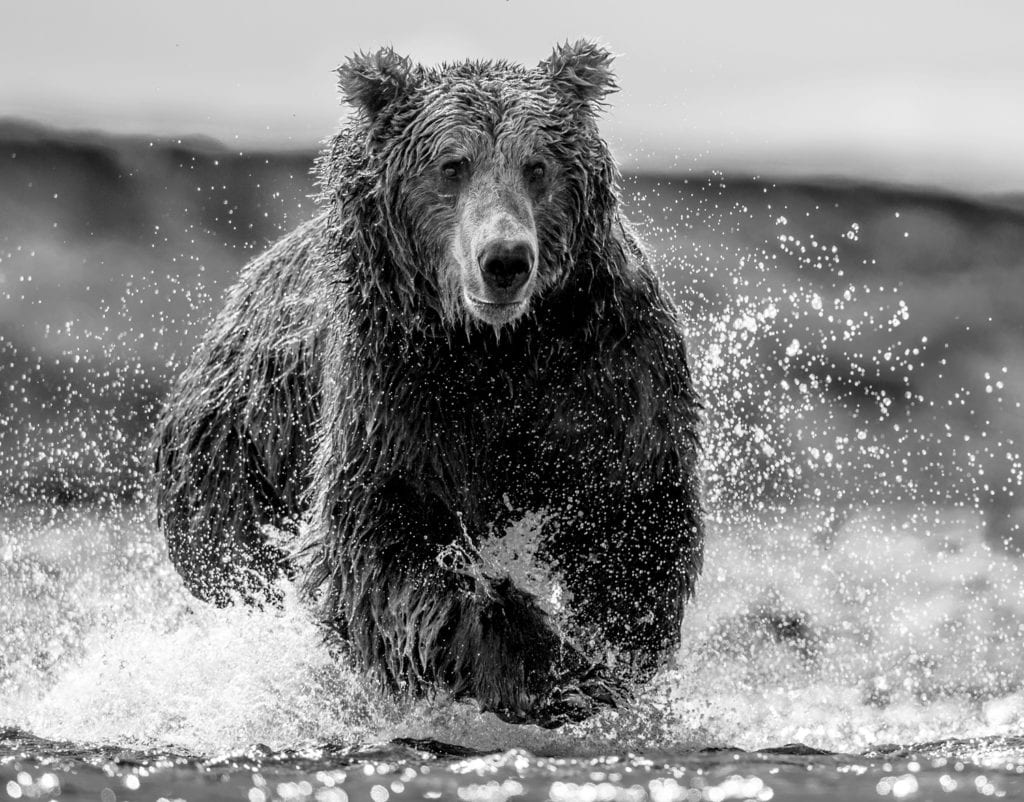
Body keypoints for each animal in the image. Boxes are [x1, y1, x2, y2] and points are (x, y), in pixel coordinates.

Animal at [153, 40, 703, 727]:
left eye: (537, 165)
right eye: (452, 164)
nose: (505, 260)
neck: (495, 348)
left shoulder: (605, 366)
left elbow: (632, 519)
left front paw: (597, 666)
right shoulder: (395, 386)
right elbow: (384, 542)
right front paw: (536, 659)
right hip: (239, 458)